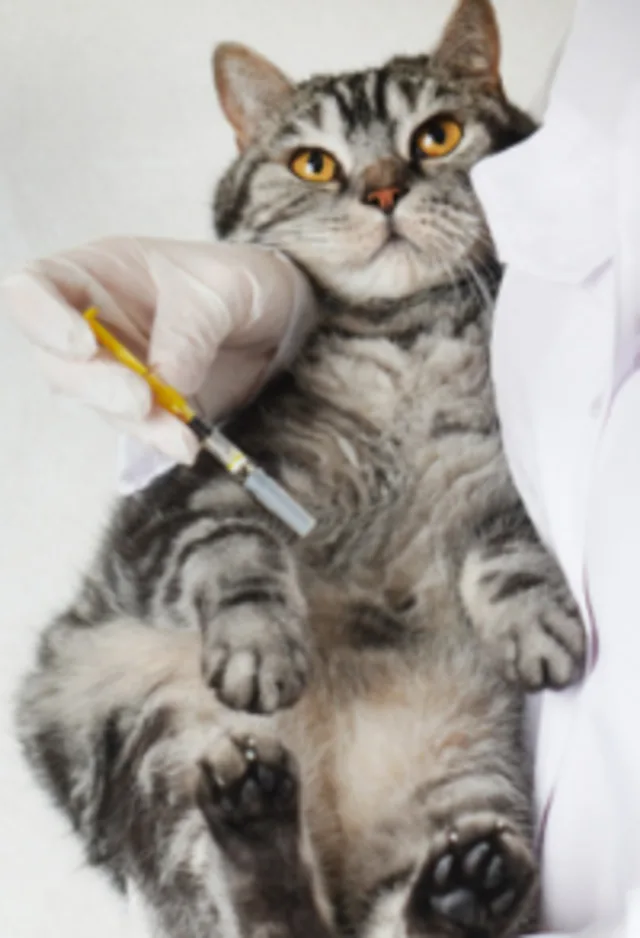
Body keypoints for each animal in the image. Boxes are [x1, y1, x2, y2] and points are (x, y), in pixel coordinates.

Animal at [16, 1, 584, 936]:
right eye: (315, 163)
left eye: (436, 134)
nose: (384, 190)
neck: (403, 344)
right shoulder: (197, 493)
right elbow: (236, 551)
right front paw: (260, 642)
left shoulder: (501, 475)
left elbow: (511, 542)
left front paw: (535, 620)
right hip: (159, 750)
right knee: (263, 913)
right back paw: (257, 812)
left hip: (470, 777)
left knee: (387, 914)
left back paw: (465, 889)